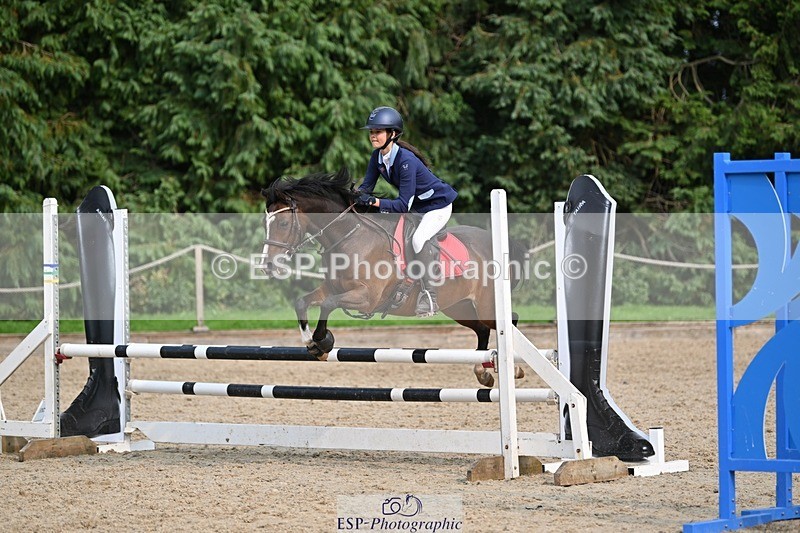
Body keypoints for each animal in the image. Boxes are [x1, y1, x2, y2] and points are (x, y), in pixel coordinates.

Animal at [260, 168, 526, 387]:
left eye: (283, 223)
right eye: (266, 223)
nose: (267, 266)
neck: (349, 236)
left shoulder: (367, 298)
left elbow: (327, 304)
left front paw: (322, 342)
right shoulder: (333, 288)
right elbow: (303, 302)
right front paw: (311, 344)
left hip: (484, 304)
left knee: (508, 321)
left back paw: (513, 368)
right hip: (457, 307)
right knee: (482, 329)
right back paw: (482, 372)